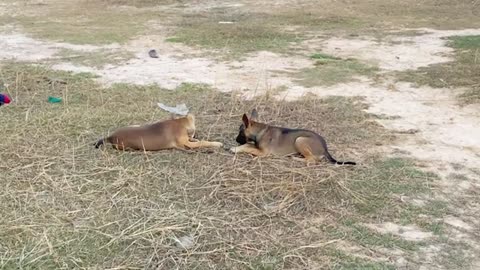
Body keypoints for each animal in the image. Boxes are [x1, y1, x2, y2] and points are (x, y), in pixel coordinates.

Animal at [94, 114, 224, 151]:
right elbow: (203, 142)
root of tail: (111, 136)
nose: (194, 134)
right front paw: (216, 143)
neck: (180, 122)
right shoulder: (186, 144)